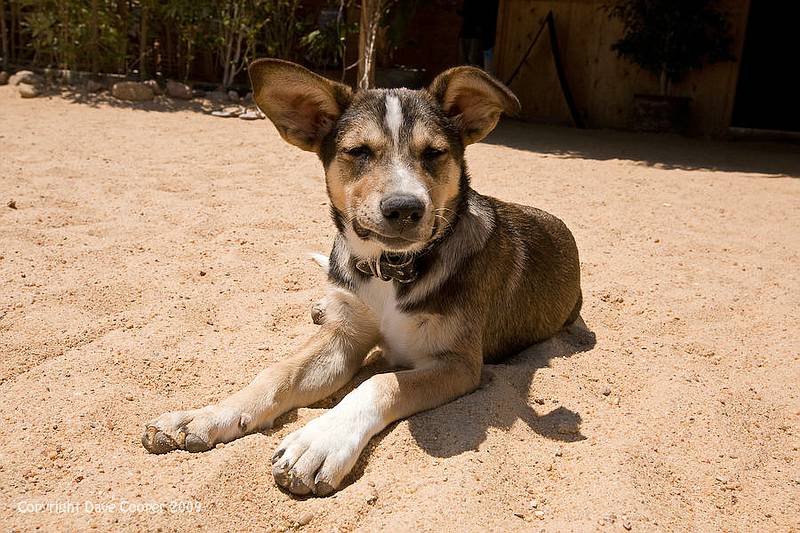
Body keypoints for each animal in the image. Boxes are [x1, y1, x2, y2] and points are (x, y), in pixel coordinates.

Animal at [142, 60, 580, 496]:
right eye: (359, 152)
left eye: (434, 154)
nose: (404, 208)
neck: (391, 270)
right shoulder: (345, 338)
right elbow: (276, 373)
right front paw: (203, 416)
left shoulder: (458, 363)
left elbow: (379, 383)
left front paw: (319, 443)